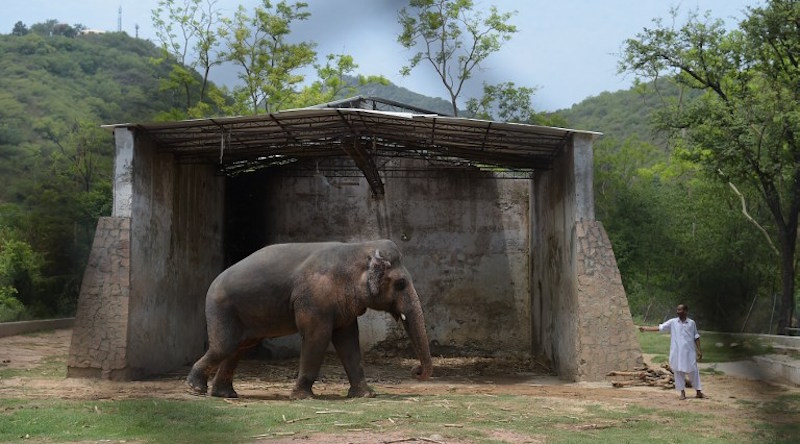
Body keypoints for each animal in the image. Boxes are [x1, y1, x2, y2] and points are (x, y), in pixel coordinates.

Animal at [186, 239, 433, 399]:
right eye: (400, 283)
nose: (415, 371)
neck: (357, 248)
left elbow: (348, 340)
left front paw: (366, 395)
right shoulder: (315, 299)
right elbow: (318, 336)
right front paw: (302, 397)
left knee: (239, 348)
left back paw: (224, 394)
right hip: (222, 309)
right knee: (225, 346)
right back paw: (195, 389)